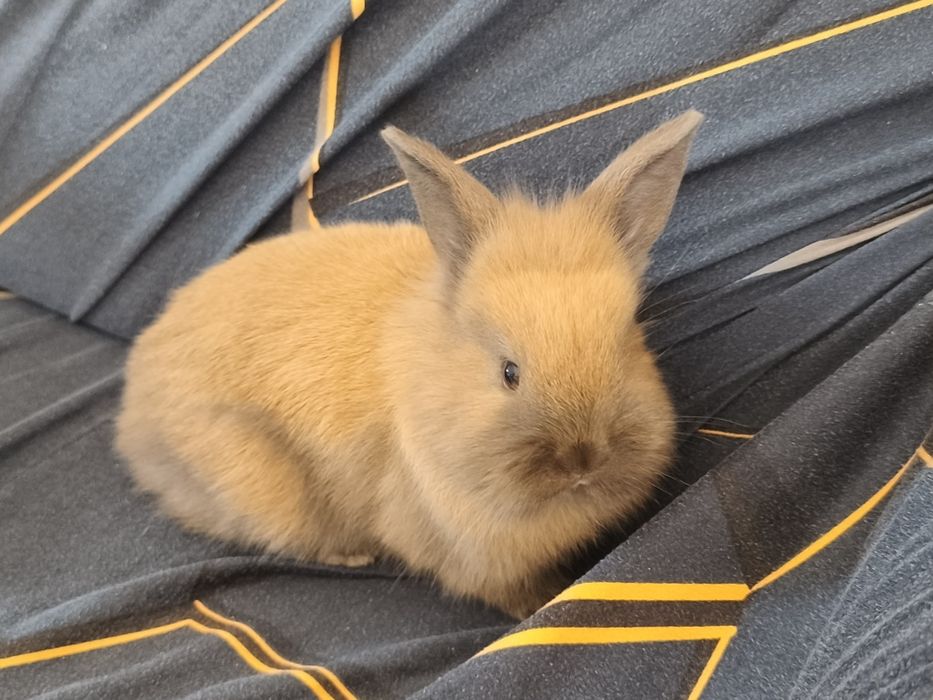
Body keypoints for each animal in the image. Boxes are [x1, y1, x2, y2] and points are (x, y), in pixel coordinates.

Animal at [116, 110, 703, 619]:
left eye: (625, 343)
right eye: (508, 372)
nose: (583, 458)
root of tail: (134, 408)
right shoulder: (465, 550)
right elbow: (508, 590)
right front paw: (539, 603)